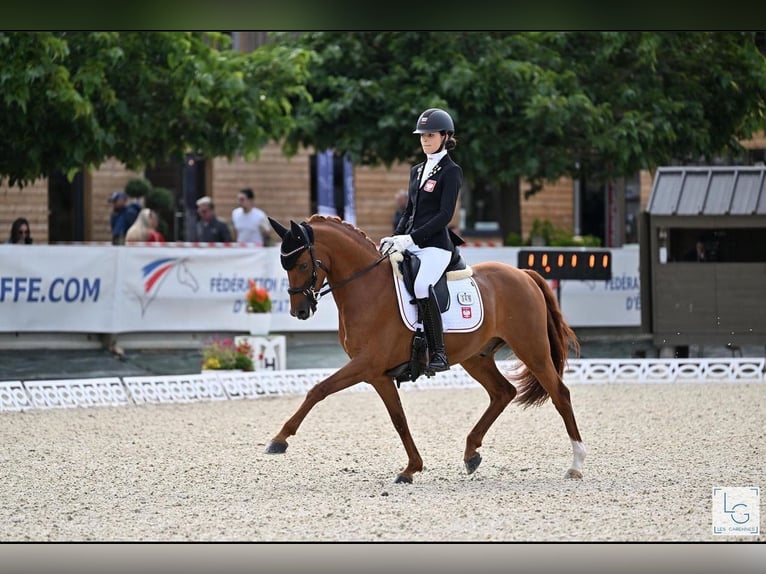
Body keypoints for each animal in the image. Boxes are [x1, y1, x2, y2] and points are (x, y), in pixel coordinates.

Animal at [268, 214, 584, 484]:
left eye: (302, 265)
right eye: (284, 266)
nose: (300, 311)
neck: (367, 287)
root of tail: (524, 274)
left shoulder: (366, 364)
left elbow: (318, 389)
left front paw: (279, 439)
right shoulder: (377, 374)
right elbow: (399, 419)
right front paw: (411, 468)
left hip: (532, 349)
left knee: (560, 394)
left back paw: (576, 464)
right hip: (476, 357)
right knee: (503, 392)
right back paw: (471, 454)